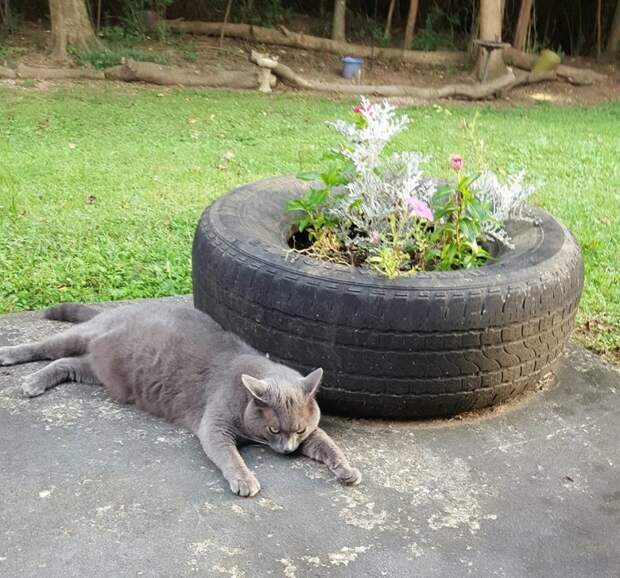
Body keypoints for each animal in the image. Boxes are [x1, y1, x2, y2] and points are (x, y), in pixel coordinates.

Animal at [0, 302, 360, 496]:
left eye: (299, 430)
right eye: (273, 430)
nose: (287, 451)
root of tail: (122, 307)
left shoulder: (313, 434)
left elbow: (328, 445)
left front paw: (347, 470)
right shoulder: (214, 426)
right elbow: (229, 456)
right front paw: (244, 479)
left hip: (98, 371)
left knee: (65, 364)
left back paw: (36, 380)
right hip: (84, 335)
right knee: (47, 347)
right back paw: (17, 365)